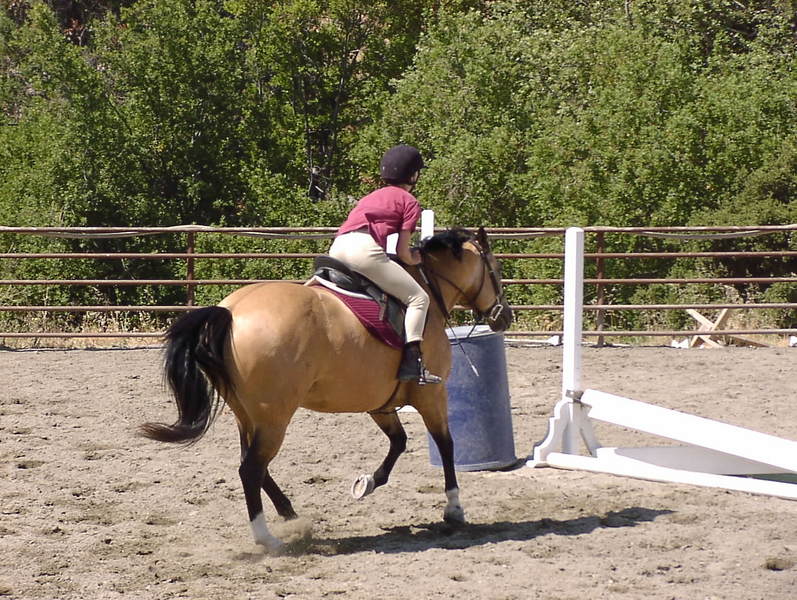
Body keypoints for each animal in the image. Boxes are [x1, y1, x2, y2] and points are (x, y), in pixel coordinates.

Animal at [140, 227, 513, 553]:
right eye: (496, 269)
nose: (504, 316)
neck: (428, 294)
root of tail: (230, 311)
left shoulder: (380, 402)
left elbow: (398, 441)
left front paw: (367, 483)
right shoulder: (431, 395)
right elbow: (446, 445)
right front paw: (454, 509)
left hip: (247, 415)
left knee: (254, 465)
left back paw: (289, 513)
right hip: (274, 417)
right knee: (250, 469)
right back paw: (268, 538)